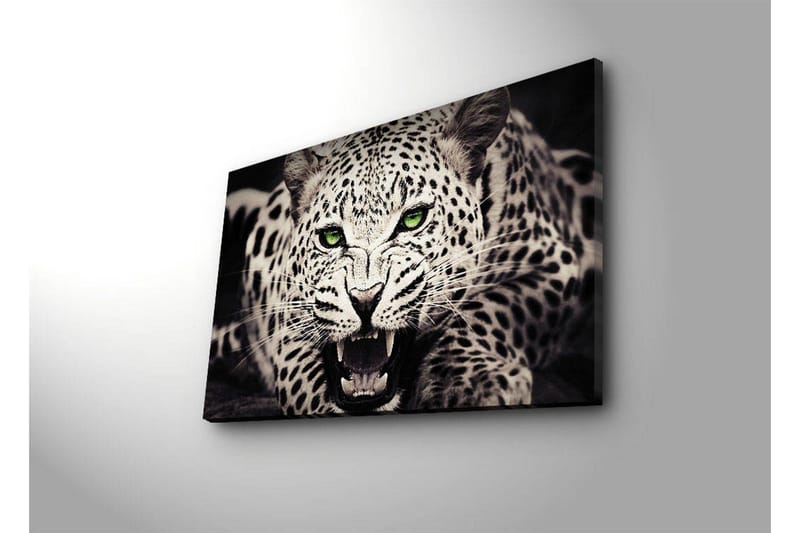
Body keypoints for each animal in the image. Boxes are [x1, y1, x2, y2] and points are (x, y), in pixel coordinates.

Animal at [208, 86, 602, 417]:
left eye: (413, 218)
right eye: (331, 237)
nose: (364, 299)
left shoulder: (552, 263)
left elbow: (489, 308)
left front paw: (467, 383)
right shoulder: (287, 309)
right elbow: (298, 368)